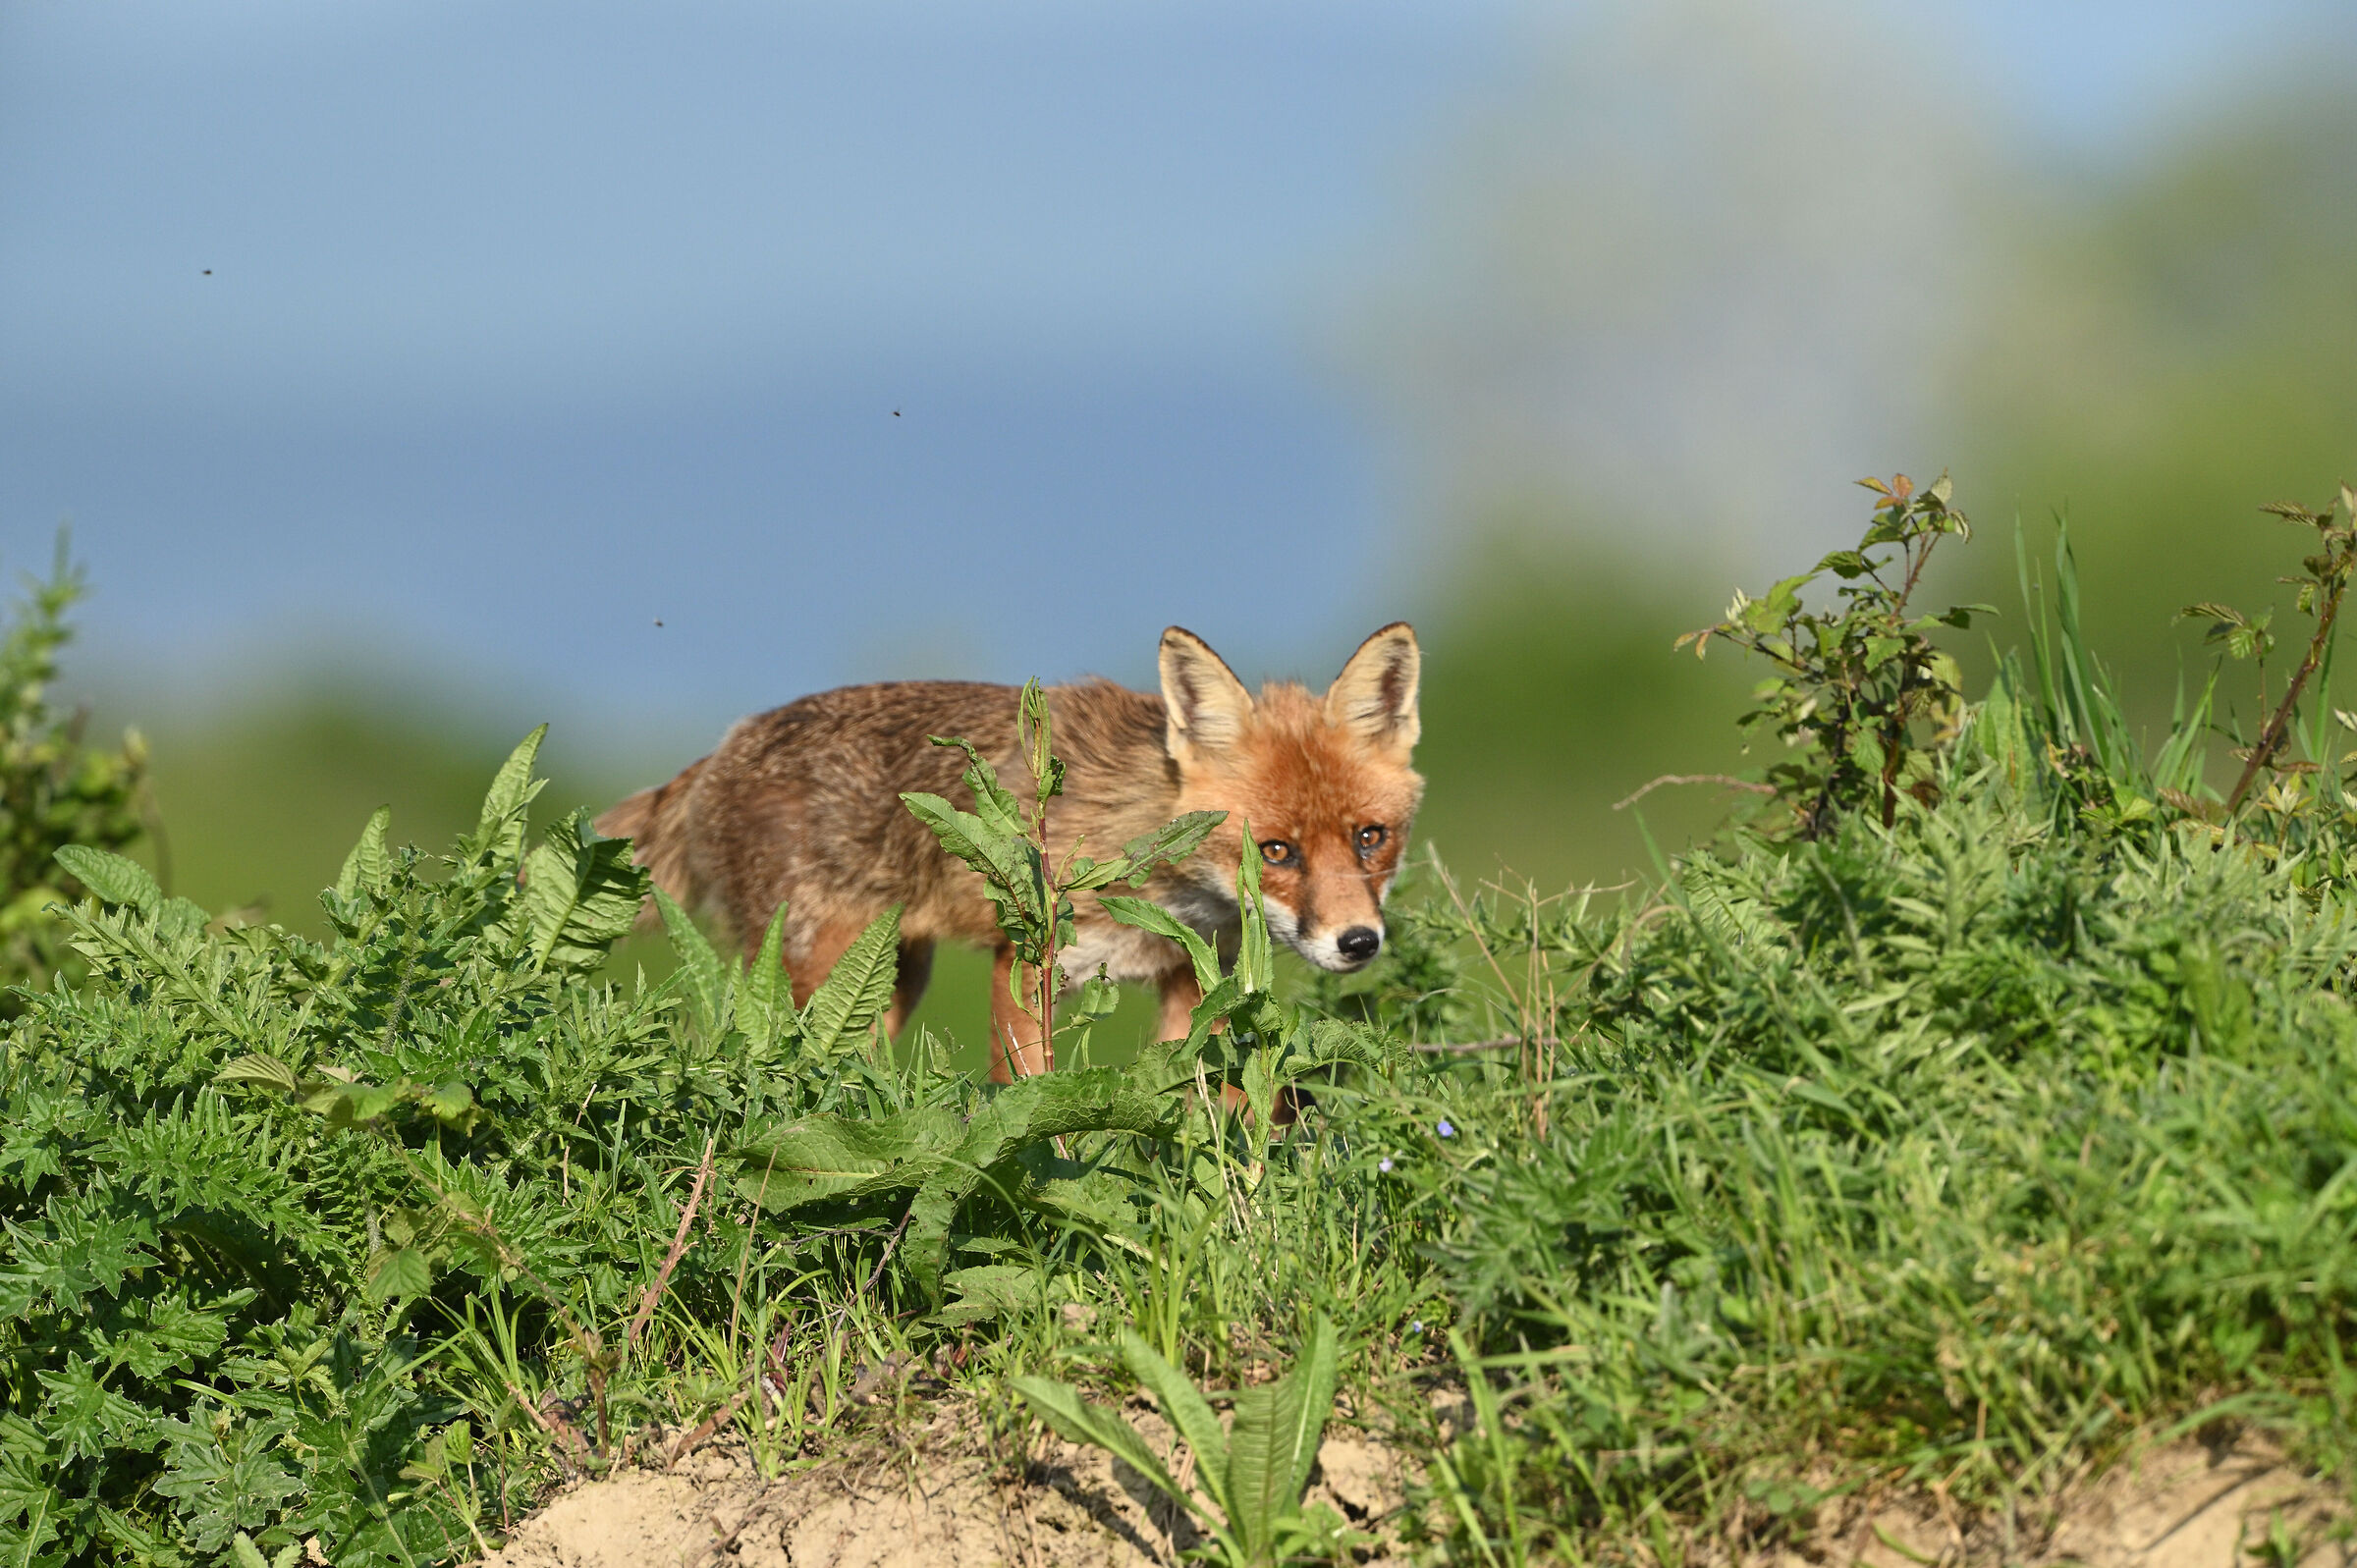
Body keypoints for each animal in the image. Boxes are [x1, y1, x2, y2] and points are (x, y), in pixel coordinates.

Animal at [596, 623, 1422, 1083]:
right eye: (1276, 850)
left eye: (1370, 838)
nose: (1358, 941)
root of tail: (723, 748)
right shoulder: (1025, 962)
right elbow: (1027, 1093)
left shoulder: (1196, 980)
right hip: (824, 981)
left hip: (888, 984)